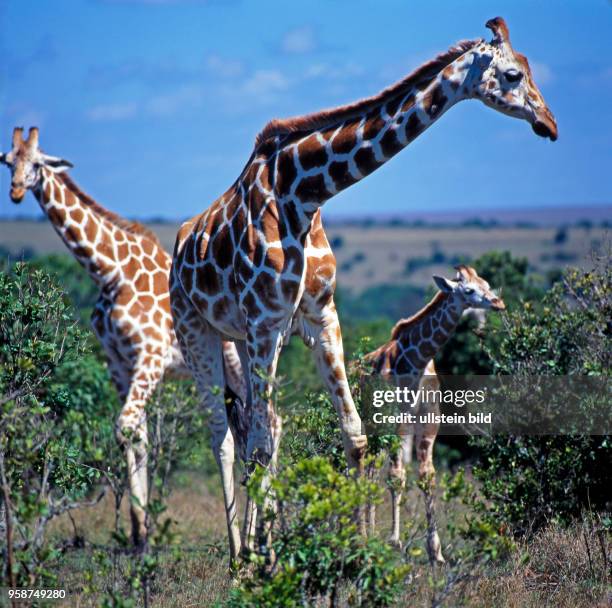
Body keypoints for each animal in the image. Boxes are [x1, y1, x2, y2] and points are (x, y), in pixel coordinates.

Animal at [1, 126, 247, 544]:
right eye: (8, 162)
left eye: (36, 163)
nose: (16, 191)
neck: (110, 272)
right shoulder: (118, 362)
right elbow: (137, 434)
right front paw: (138, 529)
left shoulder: (150, 356)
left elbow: (126, 426)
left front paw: (142, 528)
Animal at [170, 16, 556, 564]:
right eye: (511, 75)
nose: (549, 124)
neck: (302, 194)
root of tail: (181, 243)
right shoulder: (266, 320)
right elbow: (262, 445)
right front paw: (266, 557)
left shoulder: (316, 317)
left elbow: (353, 436)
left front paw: (358, 549)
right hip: (197, 330)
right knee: (226, 438)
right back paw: (240, 556)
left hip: (242, 339)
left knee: (257, 426)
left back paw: (257, 541)